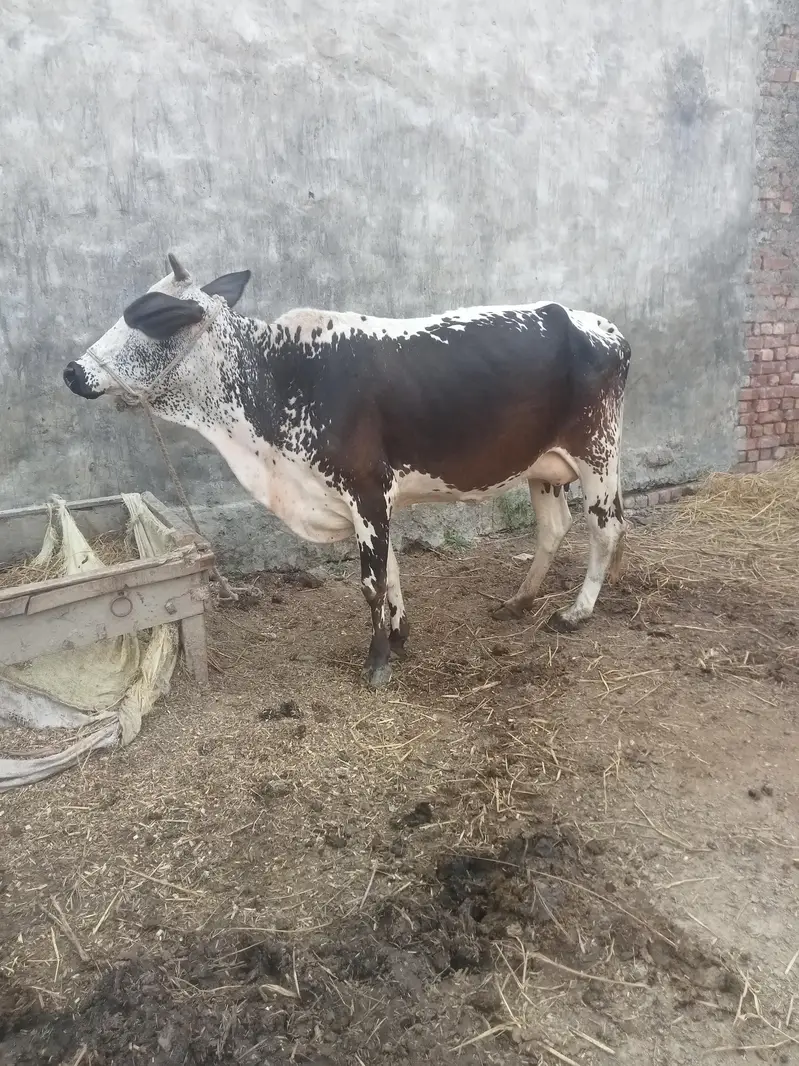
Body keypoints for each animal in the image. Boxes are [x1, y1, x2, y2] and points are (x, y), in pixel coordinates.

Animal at [64, 254, 631, 688]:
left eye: (155, 316)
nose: (73, 371)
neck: (280, 378)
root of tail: (600, 326)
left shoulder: (366, 490)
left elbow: (372, 583)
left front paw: (377, 662)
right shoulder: (368, 501)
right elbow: (393, 571)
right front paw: (399, 638)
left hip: (597, 454)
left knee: (605, 529)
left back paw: (576, 612)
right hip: (544, 467)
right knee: (553, 528)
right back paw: (518, 601)